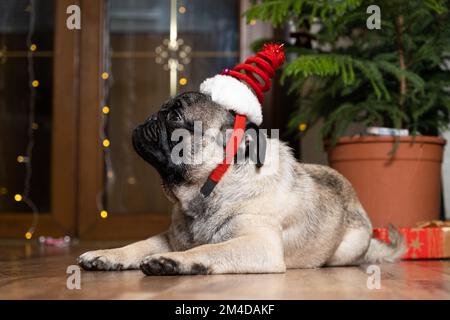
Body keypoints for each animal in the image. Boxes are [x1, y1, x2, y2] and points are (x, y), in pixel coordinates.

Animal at [77, 90, 404, 276]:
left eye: (175, 116)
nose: (150, 117)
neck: (208, 189)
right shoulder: (171, 237)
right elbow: (138, 245)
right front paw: (107, 255)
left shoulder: (259, 245)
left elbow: (208, 250)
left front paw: (173, 262)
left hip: (345, 250)